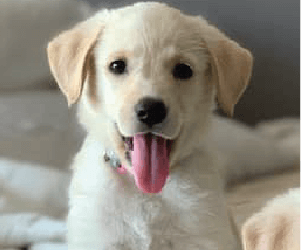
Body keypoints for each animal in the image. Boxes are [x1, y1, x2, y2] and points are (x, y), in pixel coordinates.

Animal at [48, 1, 254, 250]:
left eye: (183, 70)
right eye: (117, 66)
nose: (151, 110)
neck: (146, 191)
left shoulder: (205, 234)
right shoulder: (97, 237)